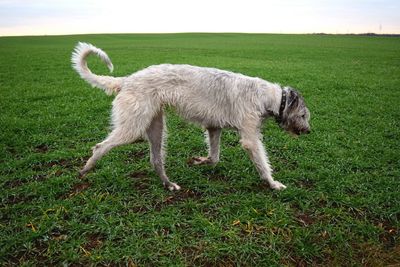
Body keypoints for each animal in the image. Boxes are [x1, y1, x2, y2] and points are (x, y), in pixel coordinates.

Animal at [70, 42, 310, 191]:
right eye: (303, 115)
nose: (309, 131)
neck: (267, 96)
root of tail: (126, 80)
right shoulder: (249, 136)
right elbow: (260, 160)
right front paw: (273, 183)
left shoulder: (214, 128)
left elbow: (214, 157)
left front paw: (200, 160)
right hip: (133, 126)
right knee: (100, 147)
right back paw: (85, 170)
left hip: (156, 125)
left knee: (155, 159)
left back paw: (168, 184)